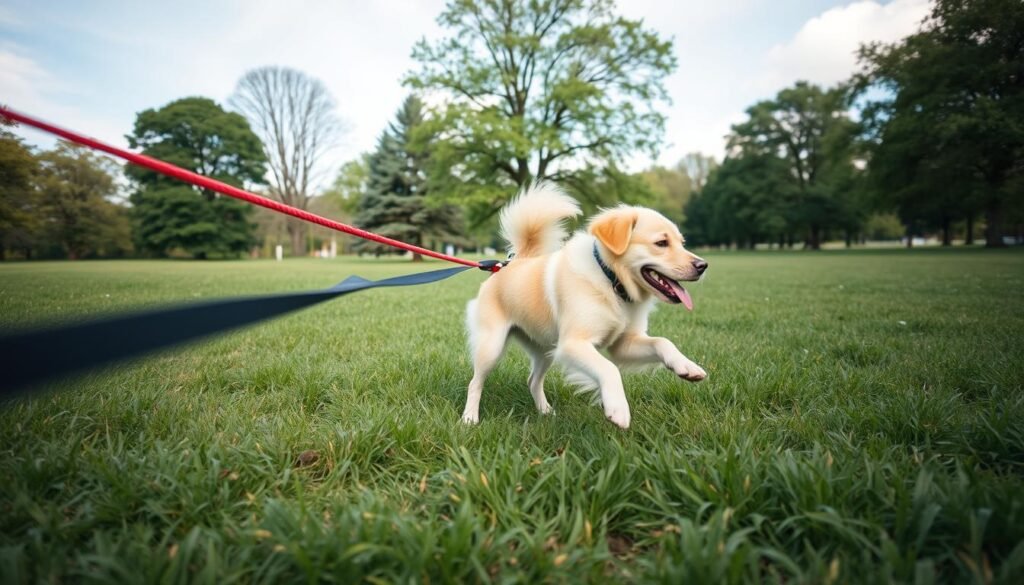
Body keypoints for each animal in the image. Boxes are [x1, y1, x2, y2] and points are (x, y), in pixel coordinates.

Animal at [462, 184, 708, 430]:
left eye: (682, 243)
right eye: (661, 243)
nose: (703, 265)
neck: (611, 281)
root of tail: (511, 262)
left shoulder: (623, 344)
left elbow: (662, 342)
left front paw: (686, 366)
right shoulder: (573, 343)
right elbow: (609, 368)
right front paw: (617, 408)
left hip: (546, 350)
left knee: (533, 381)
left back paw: (545, 412)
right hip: (492, 347)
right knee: (475, 382)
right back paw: (469, 419)